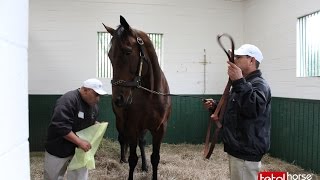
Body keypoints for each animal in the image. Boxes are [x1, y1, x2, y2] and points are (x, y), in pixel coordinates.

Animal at [104, 15, 171, 180]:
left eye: (128, 52)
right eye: (109, 56)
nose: (118, 99)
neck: (152, 94)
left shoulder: (159, 129)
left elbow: (155, 157)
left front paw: (148, 168)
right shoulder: (132, 126)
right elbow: (132, 159)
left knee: (141, 142)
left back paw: (144, 166)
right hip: (121, 121)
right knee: (123, 139)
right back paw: (122, 158)